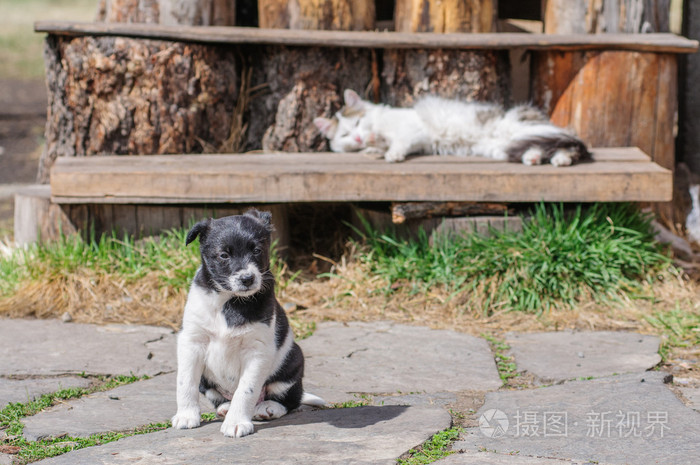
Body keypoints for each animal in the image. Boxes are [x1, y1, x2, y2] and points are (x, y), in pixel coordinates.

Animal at [171, 208, 324, 436]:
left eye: (257, 250)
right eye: (224, 255)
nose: (247, 279)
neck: (229, 301)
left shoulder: (257, 351)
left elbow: (246, 390)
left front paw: (236, 422)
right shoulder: (192, 341)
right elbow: (185, 382)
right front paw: (186, 415)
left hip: (292, 362)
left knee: (290, 399)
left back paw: (269, 407)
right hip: (207, 382)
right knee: (219, 396)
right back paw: (225, 407)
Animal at [314, 88, 592, 166]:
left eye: (357, 122)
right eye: (346, 134)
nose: (358, 138)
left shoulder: (413, 131)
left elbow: (397, 142)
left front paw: (389, 152)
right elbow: (381, 143)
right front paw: (372, 147)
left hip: (519, 130)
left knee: (568, 144)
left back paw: (560, 159)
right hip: (501, 147)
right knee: (544, 147)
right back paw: (534, 158)